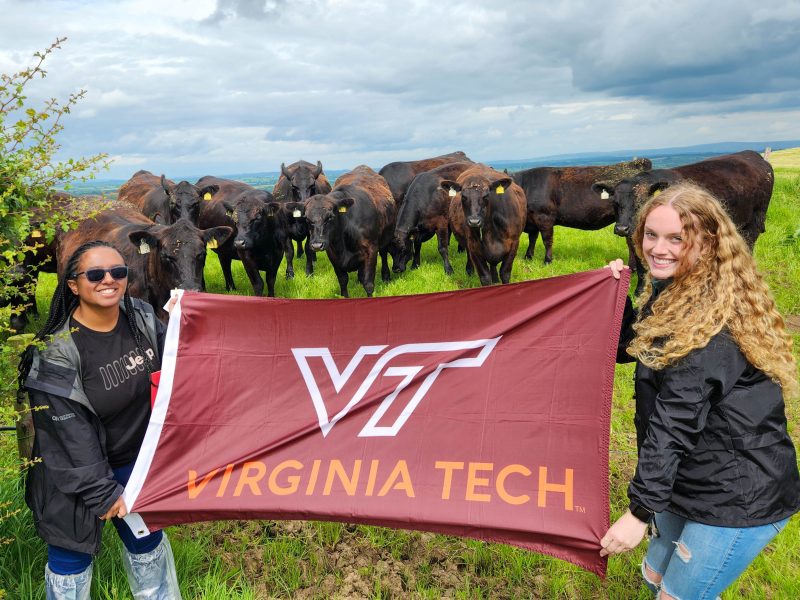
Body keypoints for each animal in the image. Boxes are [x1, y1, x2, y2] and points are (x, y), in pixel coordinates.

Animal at [290, 165, 398, 296]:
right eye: (306, 218)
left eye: (330, 217)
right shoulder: (333, 254)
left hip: (386, 238)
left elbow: (368, 283)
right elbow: (343, 280)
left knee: (383, 255)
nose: (317, 245)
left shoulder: (371, 250)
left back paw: (386, 276)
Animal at [512, 159, 648, 262]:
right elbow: (532, 239)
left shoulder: (545, 217)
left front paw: (547, 260)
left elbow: (547, 240)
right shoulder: (532, 221)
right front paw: (528, 257)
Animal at [592, 149, 776, 290]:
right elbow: (642, 265)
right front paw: (639, 292)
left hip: (756, 219)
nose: (622, 228)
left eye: (641, 202)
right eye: (614, 203)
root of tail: (753, 155)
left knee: (749, 243)